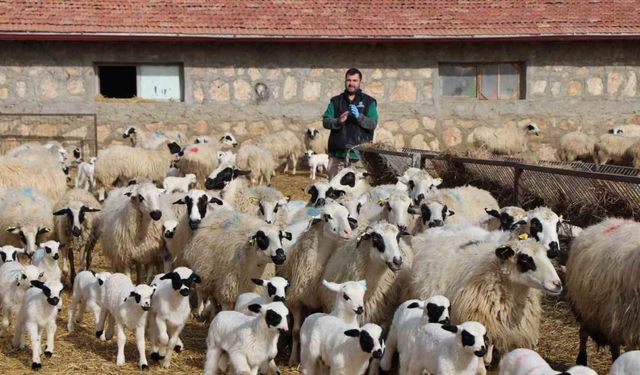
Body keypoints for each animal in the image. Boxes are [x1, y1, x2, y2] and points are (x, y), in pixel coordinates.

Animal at [568, 217, 640, 368]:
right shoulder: (631, 328)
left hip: (609, 314)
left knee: (614, 345)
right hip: (586, 309)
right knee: (583, 334)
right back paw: (581, 359)